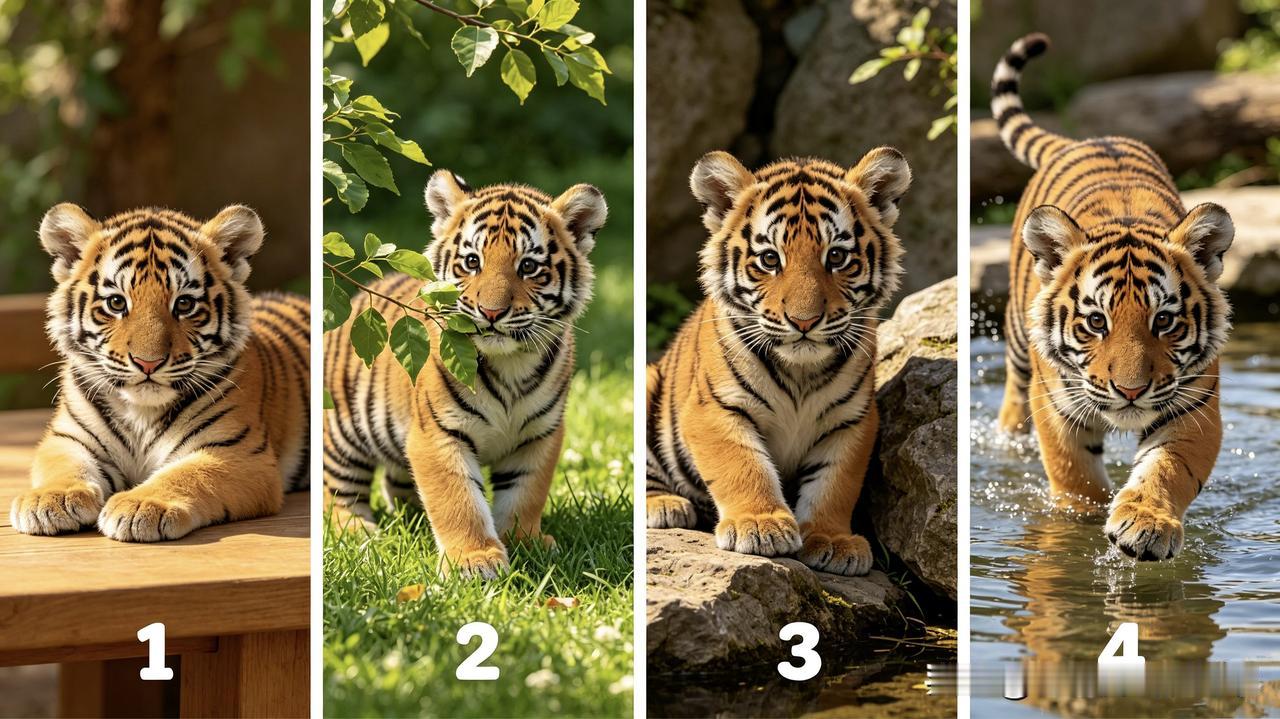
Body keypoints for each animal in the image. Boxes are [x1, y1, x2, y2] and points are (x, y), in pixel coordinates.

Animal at [9, 204, 310, 542]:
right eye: (116, 303)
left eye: (185, 303)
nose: (148, 363)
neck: (141, 412)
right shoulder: (68, 438)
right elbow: (62, 465)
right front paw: (49, 499)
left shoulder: (239, 453)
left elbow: (189, 474)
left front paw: (141, 505)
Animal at [323, 170, 606, 580]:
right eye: (472, 262)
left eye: (528, 267)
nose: (492, 312)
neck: (510, 366)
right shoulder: (438, 433)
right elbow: (458, 501)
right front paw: (475, 562)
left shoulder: (540, 435)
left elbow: (525, 494)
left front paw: (527, 543)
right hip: (344, 432)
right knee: (338, 488)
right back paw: (357, 530)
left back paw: (411, 519)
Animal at [645, 148, 911, 576]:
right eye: (770, 259)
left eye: (837, 256)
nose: (804, 321)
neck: (800, 371)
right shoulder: (714, 409)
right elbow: (742, 464)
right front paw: (759, 525)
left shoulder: (852, 420)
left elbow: (835, 483)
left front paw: (832, 540)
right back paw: (664, 505)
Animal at [992, 33, 1234, 561]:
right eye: (1096, 322)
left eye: (1164, 321)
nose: (1130, 392)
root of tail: (1086, 139)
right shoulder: (1057, 405)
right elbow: (1076, 477)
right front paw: (1080, 526)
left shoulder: (1194, 409)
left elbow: (1166, 469)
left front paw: (1144, 524)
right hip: (1020, 342)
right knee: (1014, 392)